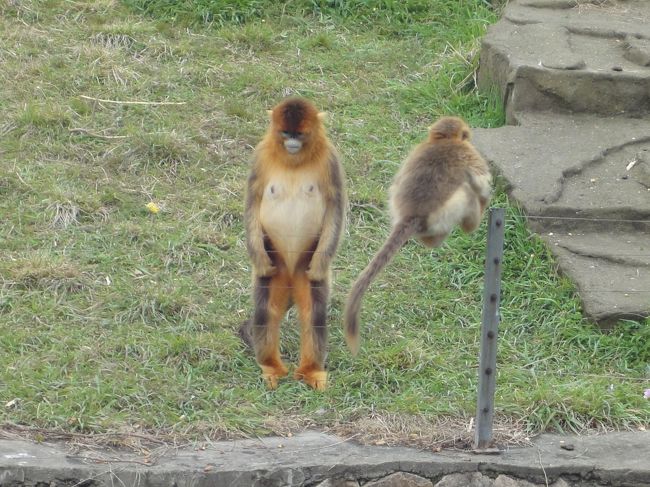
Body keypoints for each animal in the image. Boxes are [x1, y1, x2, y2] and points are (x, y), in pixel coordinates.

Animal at [240, 97, 346, 390]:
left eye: (299, 134)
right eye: (286, 133)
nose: (292, 143)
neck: (293, 161)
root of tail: (288, 271)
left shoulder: (330, 158)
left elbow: (335, 205)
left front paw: (321, 265)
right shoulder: (260, 155)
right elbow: (253, 200)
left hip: (303, 267)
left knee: (313, 313)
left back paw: (310, 370)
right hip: (275, 263)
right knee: (266, 311)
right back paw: (270, 366)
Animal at [344, 117, 486, 356]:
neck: (445, 141)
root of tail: (412, 214)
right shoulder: (472, 156)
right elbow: (483, 184)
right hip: (448, 213)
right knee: (468, 194)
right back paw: (463, 227)